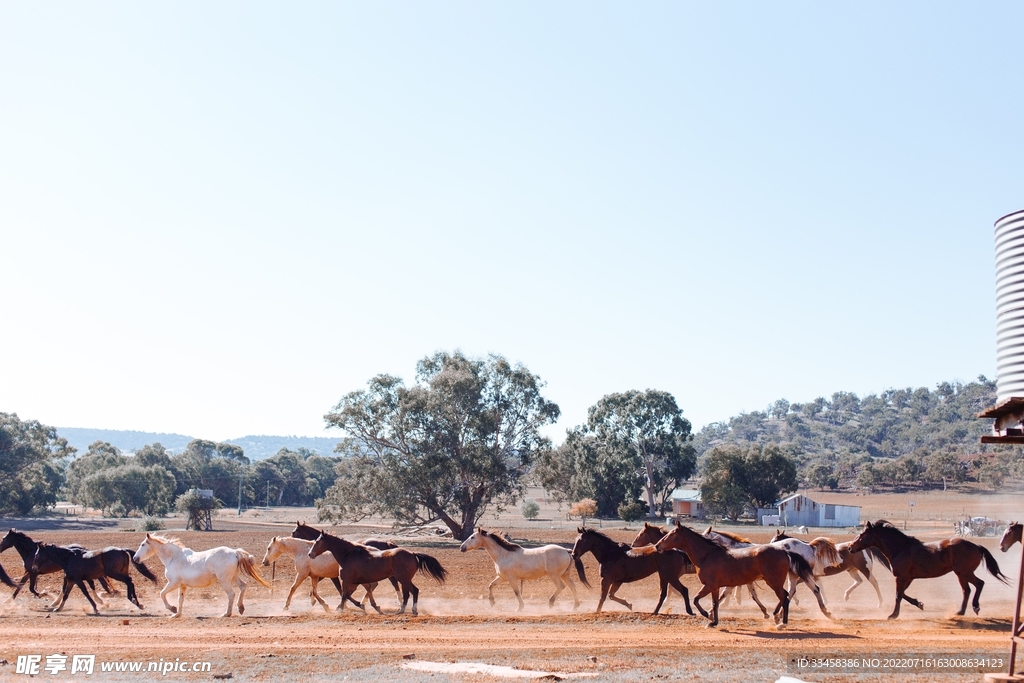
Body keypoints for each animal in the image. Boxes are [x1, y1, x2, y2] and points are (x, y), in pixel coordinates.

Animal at [133, 532, 272, 618]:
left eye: (143, 544)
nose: (135, 558)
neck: (173, 557)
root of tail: (234, 552)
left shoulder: (174, 583)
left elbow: (161, 593)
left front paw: (172, 609)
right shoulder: (182, 585)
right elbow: (180, 599)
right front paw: (177, 614)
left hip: (224, 580)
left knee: (231, 594)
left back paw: (226, 614)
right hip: (233, 577)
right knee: (243, 586)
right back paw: (241, 608)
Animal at [305, 532, 446, 618]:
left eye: (318, 541)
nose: (310, 554)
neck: (349, 555)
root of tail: (412, 553)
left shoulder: (347, 580)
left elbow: (345, 595)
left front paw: (340, 609)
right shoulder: (357, 582)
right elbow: (352, 594)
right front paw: (369, 606)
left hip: (403, 579)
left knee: (414, 591)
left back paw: (413, 611)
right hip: (403, 580)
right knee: (407, 594)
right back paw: (400, 610)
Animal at [460, 528, 589, 614]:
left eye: (472, 537)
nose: (461, 547)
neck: (503, 554)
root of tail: (566, 550)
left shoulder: (511, 579)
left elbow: (517, 592)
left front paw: (519, 608)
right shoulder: (502, 578)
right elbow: (491, 585)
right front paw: (492, 602)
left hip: (555, 575)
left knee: (561, 586)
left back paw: (551, 603)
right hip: (564, 575)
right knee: (572, 586)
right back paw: (575, 606)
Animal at [630, 520, 823, 626]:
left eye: (671, 534)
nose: (657, 546)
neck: (707, 555)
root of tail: (783, 550)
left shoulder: (708, 585)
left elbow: (695, 598)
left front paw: (705, 615)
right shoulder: (715, 586)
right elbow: (715, 602)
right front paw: (713, 621)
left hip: (774, 582)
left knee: (787, 596)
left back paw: (782, 622)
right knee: (788, 595)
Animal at [847, 520, 1007, 622]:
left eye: (861, 535)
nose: (850, 547)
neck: (900, 548)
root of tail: (976, 546)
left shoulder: (901, 577)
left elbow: (898, 595)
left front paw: (893, 615)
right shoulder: (908, 578)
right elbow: (903, 594)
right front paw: (919, 604)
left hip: (964, 573)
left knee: (979, 584)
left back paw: (975, 607)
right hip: (961, 575)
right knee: (966, 590)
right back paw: (960, 612)